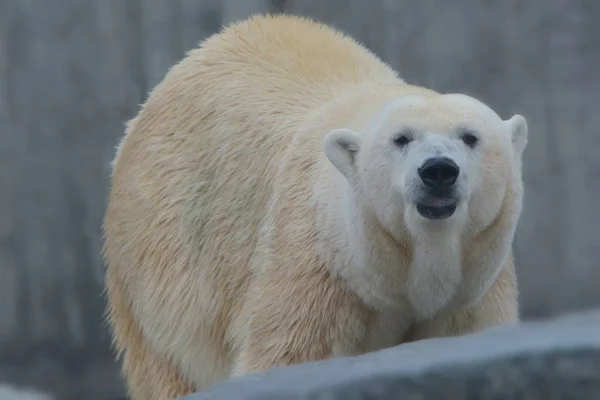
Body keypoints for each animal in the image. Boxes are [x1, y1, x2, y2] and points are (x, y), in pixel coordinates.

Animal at [105, 13, 528, 400]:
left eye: (470, 136)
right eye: (401, 138)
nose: (438, 170)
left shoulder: (472, 289)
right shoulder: (315, 263)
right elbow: (289, 353)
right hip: (160, 272)